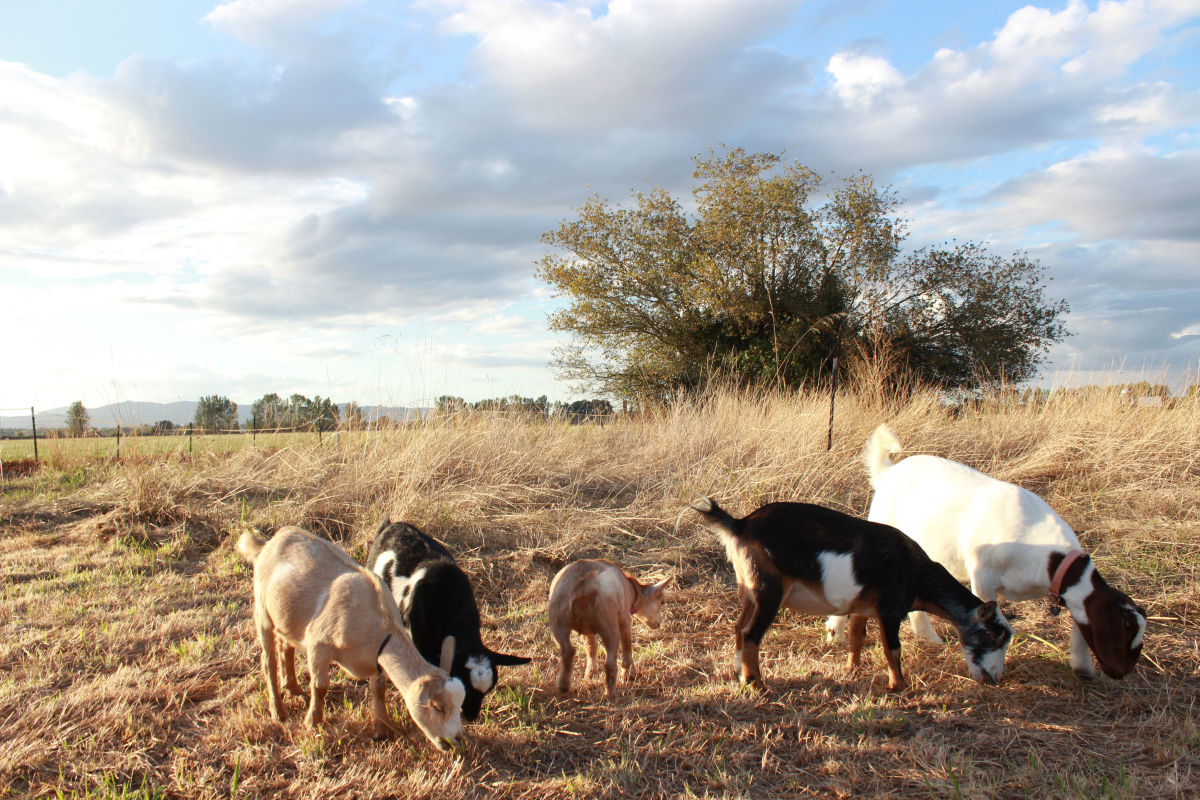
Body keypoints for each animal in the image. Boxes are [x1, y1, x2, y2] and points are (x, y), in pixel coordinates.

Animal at [235, 525, 463, 753]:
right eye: (437, 707)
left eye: (460, 705)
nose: (455, 740)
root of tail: (270, 542)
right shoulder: (318, 644)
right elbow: (320, 686)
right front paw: (312, 723)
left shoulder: (376, 659)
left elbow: (379, 688)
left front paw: (381, 730)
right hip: (262, 611)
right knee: (268, 661)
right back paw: (278, 711)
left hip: (285, 616)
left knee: (286, 647)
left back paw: (293, 688)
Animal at [549, 561, 672, 695]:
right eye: (662, 602)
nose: (660, 623)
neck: (631, 588)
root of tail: (584, 587)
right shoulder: (625, 621)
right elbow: (627, 650)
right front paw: (630, 675)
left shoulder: (587, 632)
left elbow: (591, 648)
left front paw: (590, 674)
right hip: (610, 628)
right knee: (610, 664)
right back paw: (610, 693)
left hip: (558, 624)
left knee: (568, 651)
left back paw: (563, 686)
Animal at [691, 494, 1008, 690]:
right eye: (993, 636)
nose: (995, 679)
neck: (918, 574)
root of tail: (741, 524)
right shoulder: (890, 609)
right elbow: (892, 648)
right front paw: (899, 686)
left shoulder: (862, 607)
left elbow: (858, 637)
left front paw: (852, 670)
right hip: (770, 591)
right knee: (750, 633)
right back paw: (757, 683)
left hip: (749, 589)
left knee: (738, 627)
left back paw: (739, 674)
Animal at [830, 429, 1147, 681]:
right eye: (1127, 633)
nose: (1122, 674)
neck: (1045, 556)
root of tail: (888, 472)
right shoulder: (982, 576)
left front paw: (1082, 668)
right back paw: (836, 629)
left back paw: (929, 639)